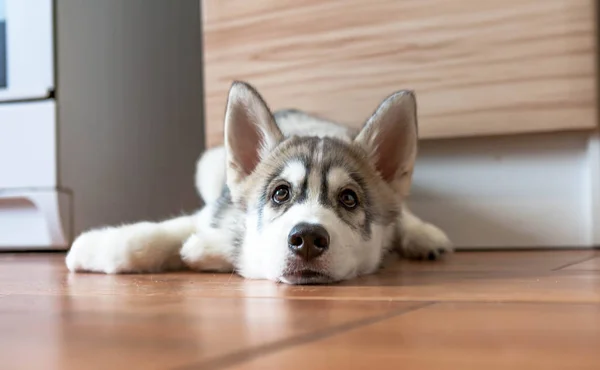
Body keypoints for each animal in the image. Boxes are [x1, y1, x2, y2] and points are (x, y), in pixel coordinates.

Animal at [64, 80, 450, 284]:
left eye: (349, 199)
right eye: (280, 193)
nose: (307, 239)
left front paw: (208, 251)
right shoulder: (215, 212)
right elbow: (152, 236)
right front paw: (93, 247)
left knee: (403, 214)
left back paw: (425, 236)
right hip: (207, 166)